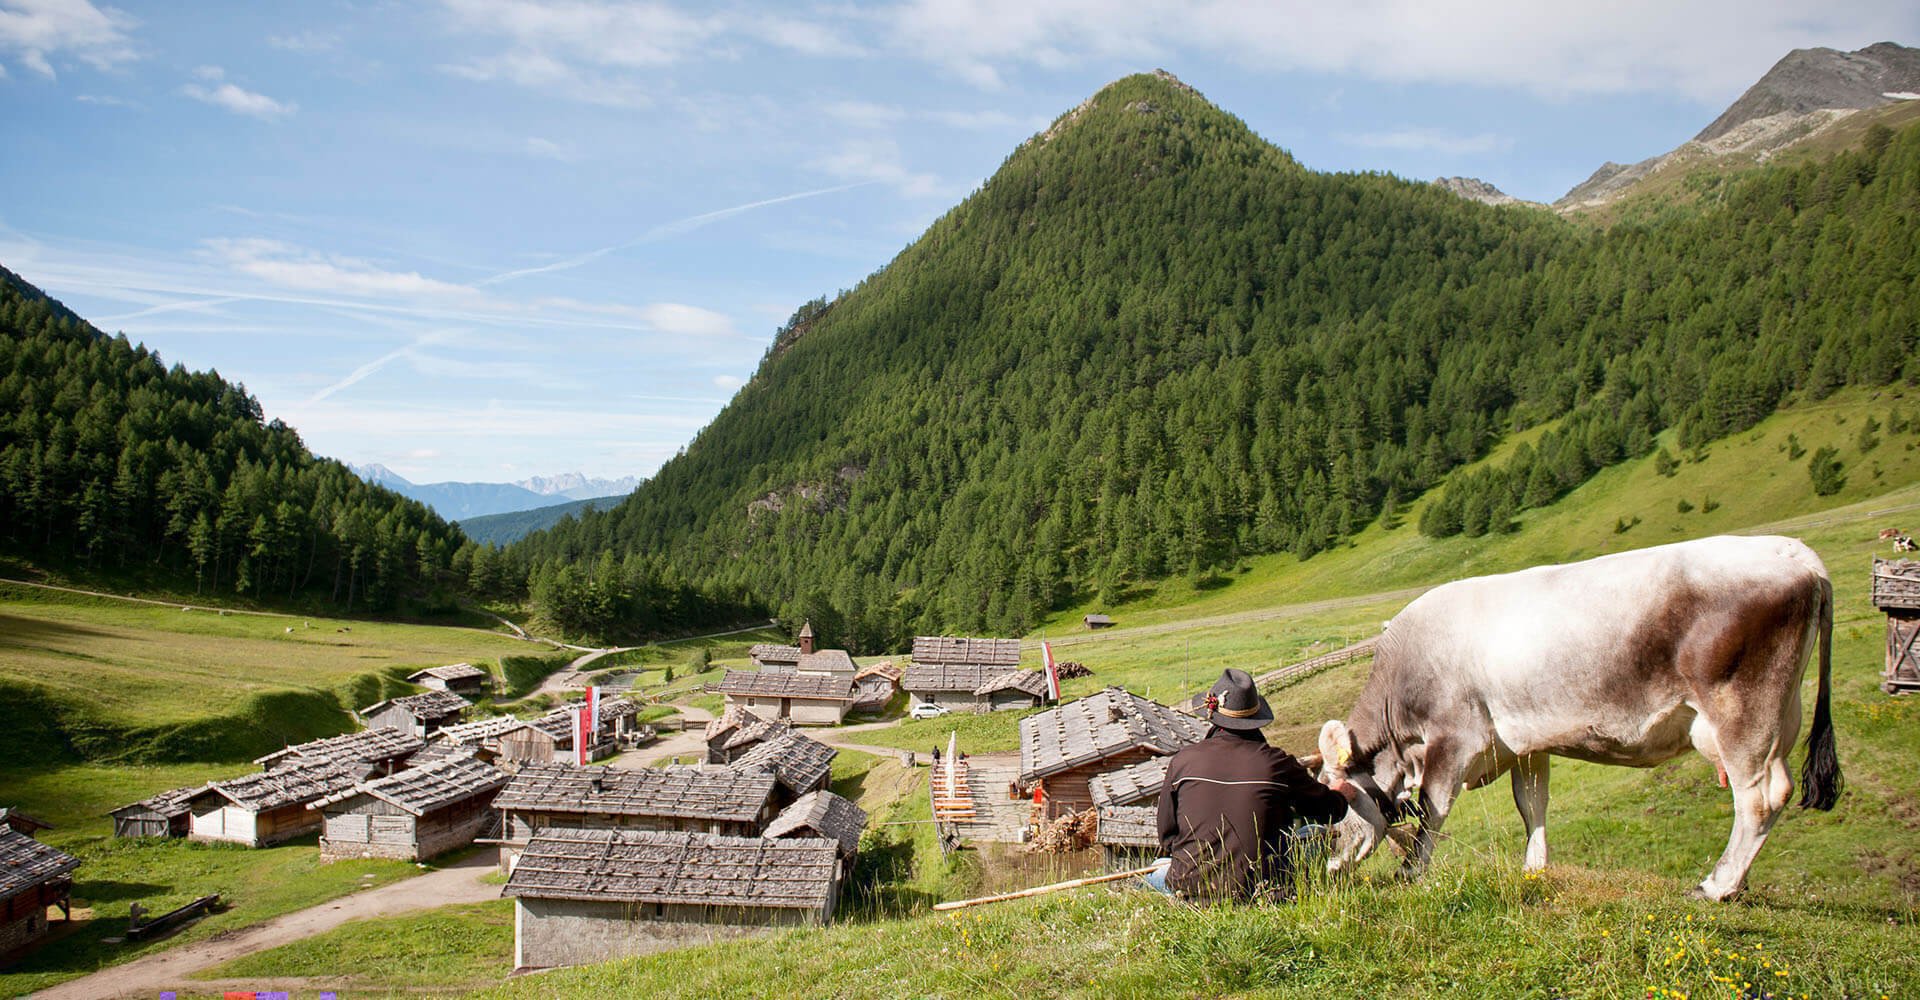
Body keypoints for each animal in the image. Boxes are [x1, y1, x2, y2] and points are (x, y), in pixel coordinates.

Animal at [1313, 533, 1835, 902]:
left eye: (1332, 818)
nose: (1322, 874)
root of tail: (1791, 551)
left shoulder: (1453, 740)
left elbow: (1433, 812)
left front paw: (1412, 871)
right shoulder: (1524, 746)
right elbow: (1532, 804)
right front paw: (1534, 869)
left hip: (1742, 713)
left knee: (1760, 797)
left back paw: (1717, 885)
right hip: (1783, 715)